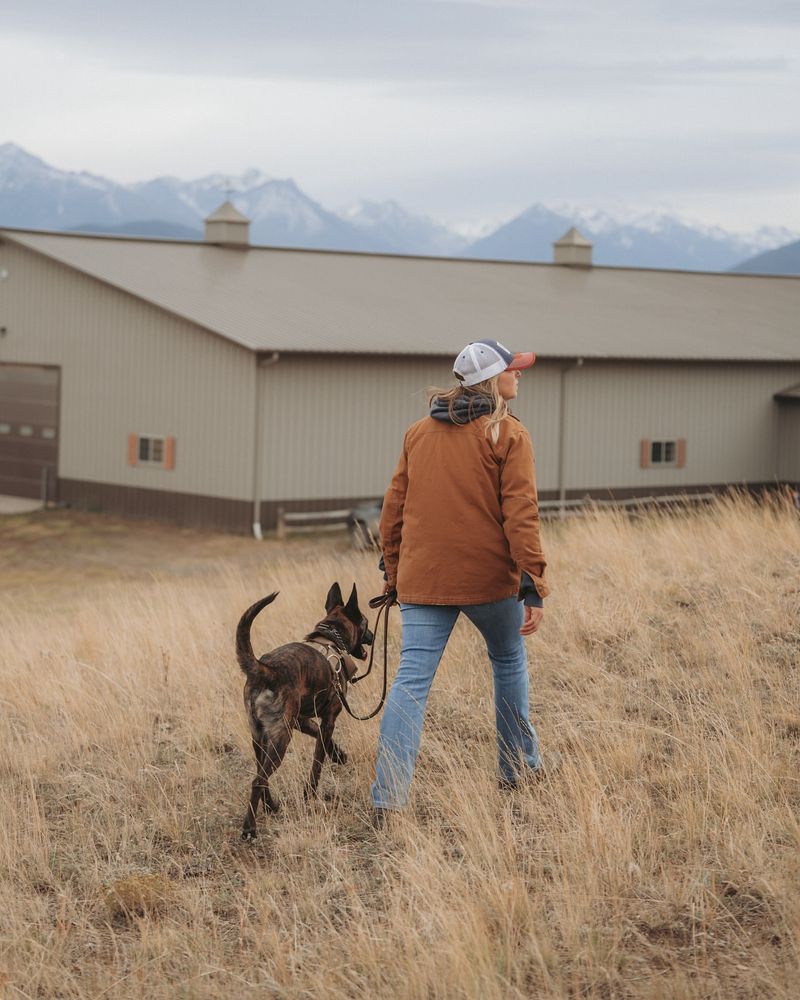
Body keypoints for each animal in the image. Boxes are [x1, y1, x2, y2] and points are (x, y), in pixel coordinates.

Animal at [238, 584, 376, 840]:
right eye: (366, 622)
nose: (372, 636)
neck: (331, 638)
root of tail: (266, 669)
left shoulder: (301, 720)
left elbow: (322, 738)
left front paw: (339, 755)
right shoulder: (329, 718)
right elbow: (317, 761)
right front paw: (310, 792)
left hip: (260, 738)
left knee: (261, 775)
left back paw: (271, 806)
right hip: (280, 739)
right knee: (257, 780)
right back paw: (249, 828)